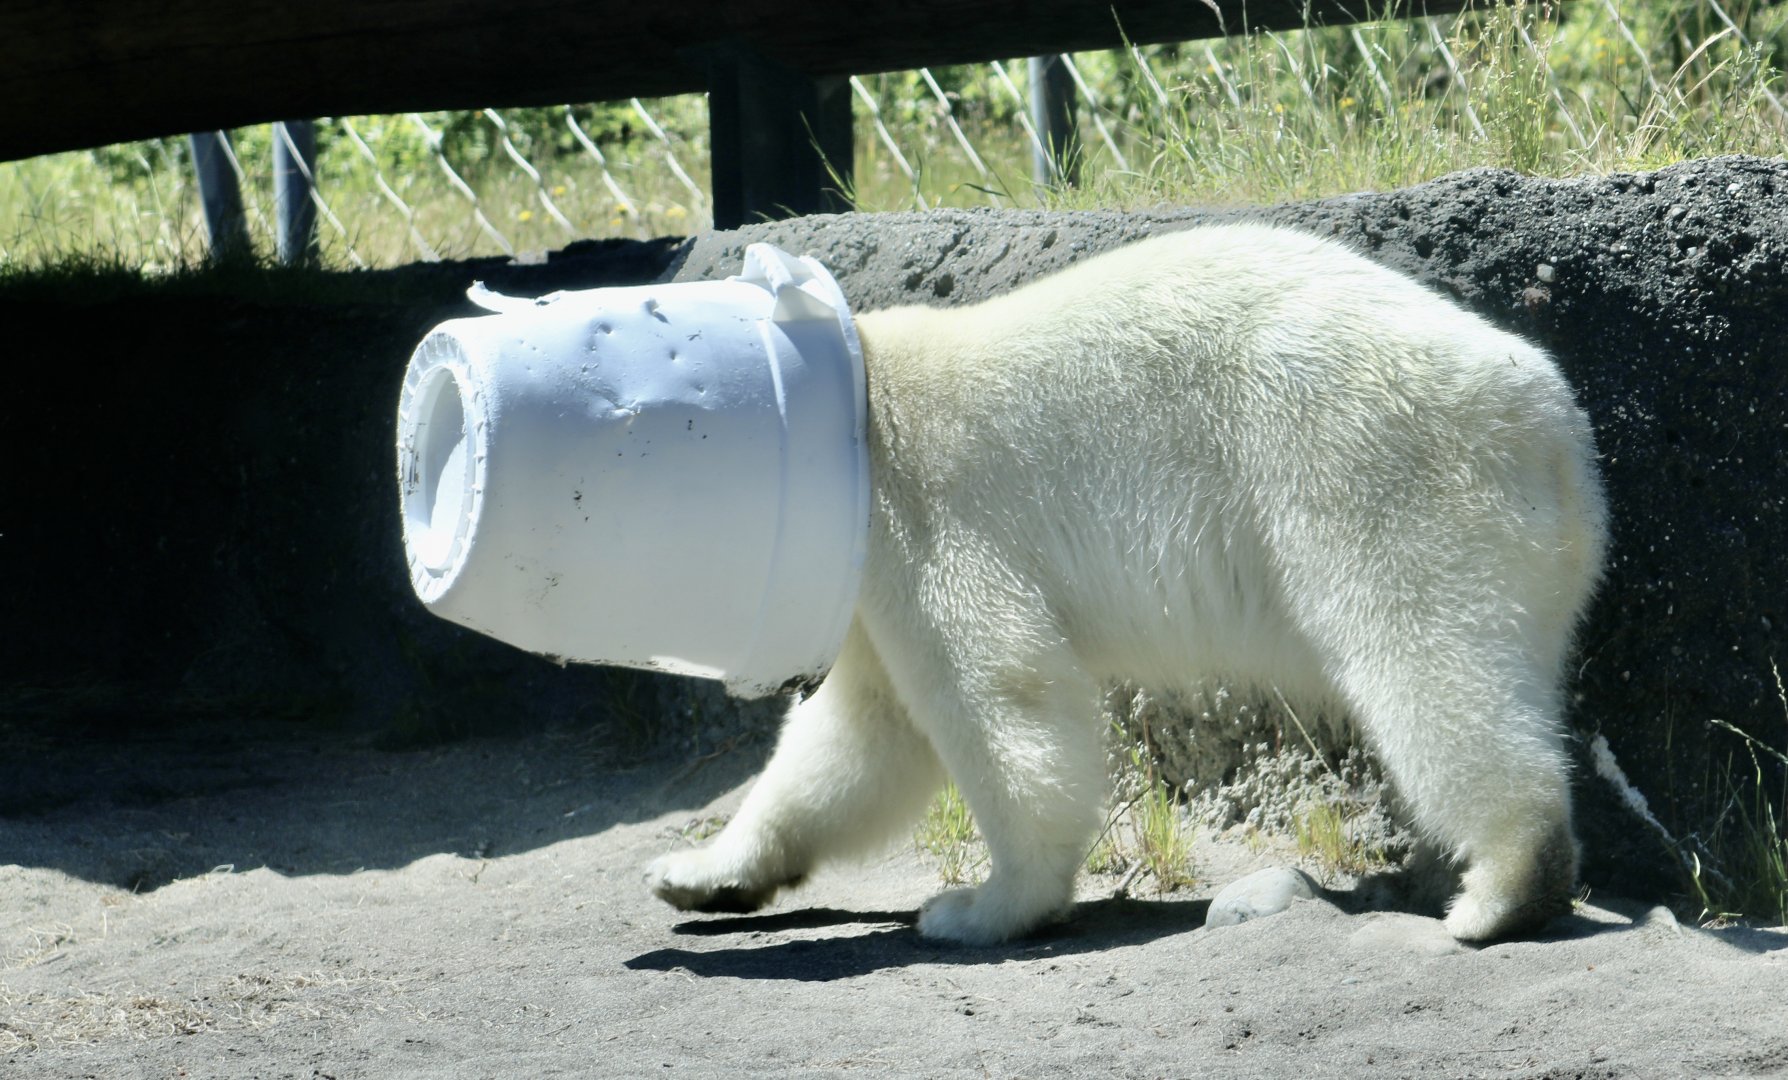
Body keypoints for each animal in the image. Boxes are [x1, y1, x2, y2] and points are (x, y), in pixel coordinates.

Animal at [646, 223, 1609, 945]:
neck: (857, 406)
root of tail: (1551, 425)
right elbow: (862, 734)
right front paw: (694, 873)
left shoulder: (925, 509)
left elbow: (997, 693)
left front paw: (978, 907)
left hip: (1375, 476)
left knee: (1424, 662)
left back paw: (1499, 891)